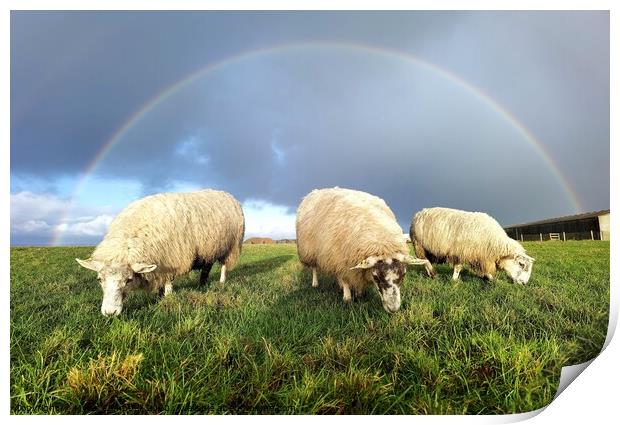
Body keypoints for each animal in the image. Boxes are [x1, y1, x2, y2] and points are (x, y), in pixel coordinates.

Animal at [75, 189, 245, 314]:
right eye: (99, 279)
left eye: (129, 280)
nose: (110, 312)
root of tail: (226, 194)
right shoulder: (161, 261)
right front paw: (158, 293)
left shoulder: (172, 257)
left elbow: (169, 281)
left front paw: (168, 296)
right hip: (209, 248)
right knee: (207, 267)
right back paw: (202, 283)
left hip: (231, 246)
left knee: (223, 266)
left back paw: (221, 282)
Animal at [296, 187, 432, 314]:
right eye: (376, 277)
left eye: (404, 275)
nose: (393, 309)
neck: (380, 240)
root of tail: (315, 191)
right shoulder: (341, 260)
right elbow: (345, 279)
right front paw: (347, 297)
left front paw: (359, 293)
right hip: (309, 249)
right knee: (314, 268)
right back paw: (315, 283)